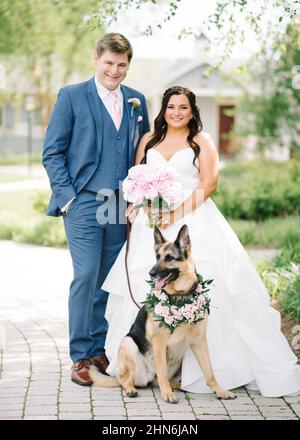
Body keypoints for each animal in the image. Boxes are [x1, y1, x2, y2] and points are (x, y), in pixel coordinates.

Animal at [89, 225, 237, 404]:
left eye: (169, 258)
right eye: (157, 257)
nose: (151, 273)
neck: (181, 298)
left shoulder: (200, 341)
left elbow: (209, 372)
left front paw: (221, 391)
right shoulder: (159, 342)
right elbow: (162, 373)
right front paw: (167, 394)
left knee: (156, 379)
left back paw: (178, 385)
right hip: (128, 343)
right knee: (126, 378)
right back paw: (131, 389)